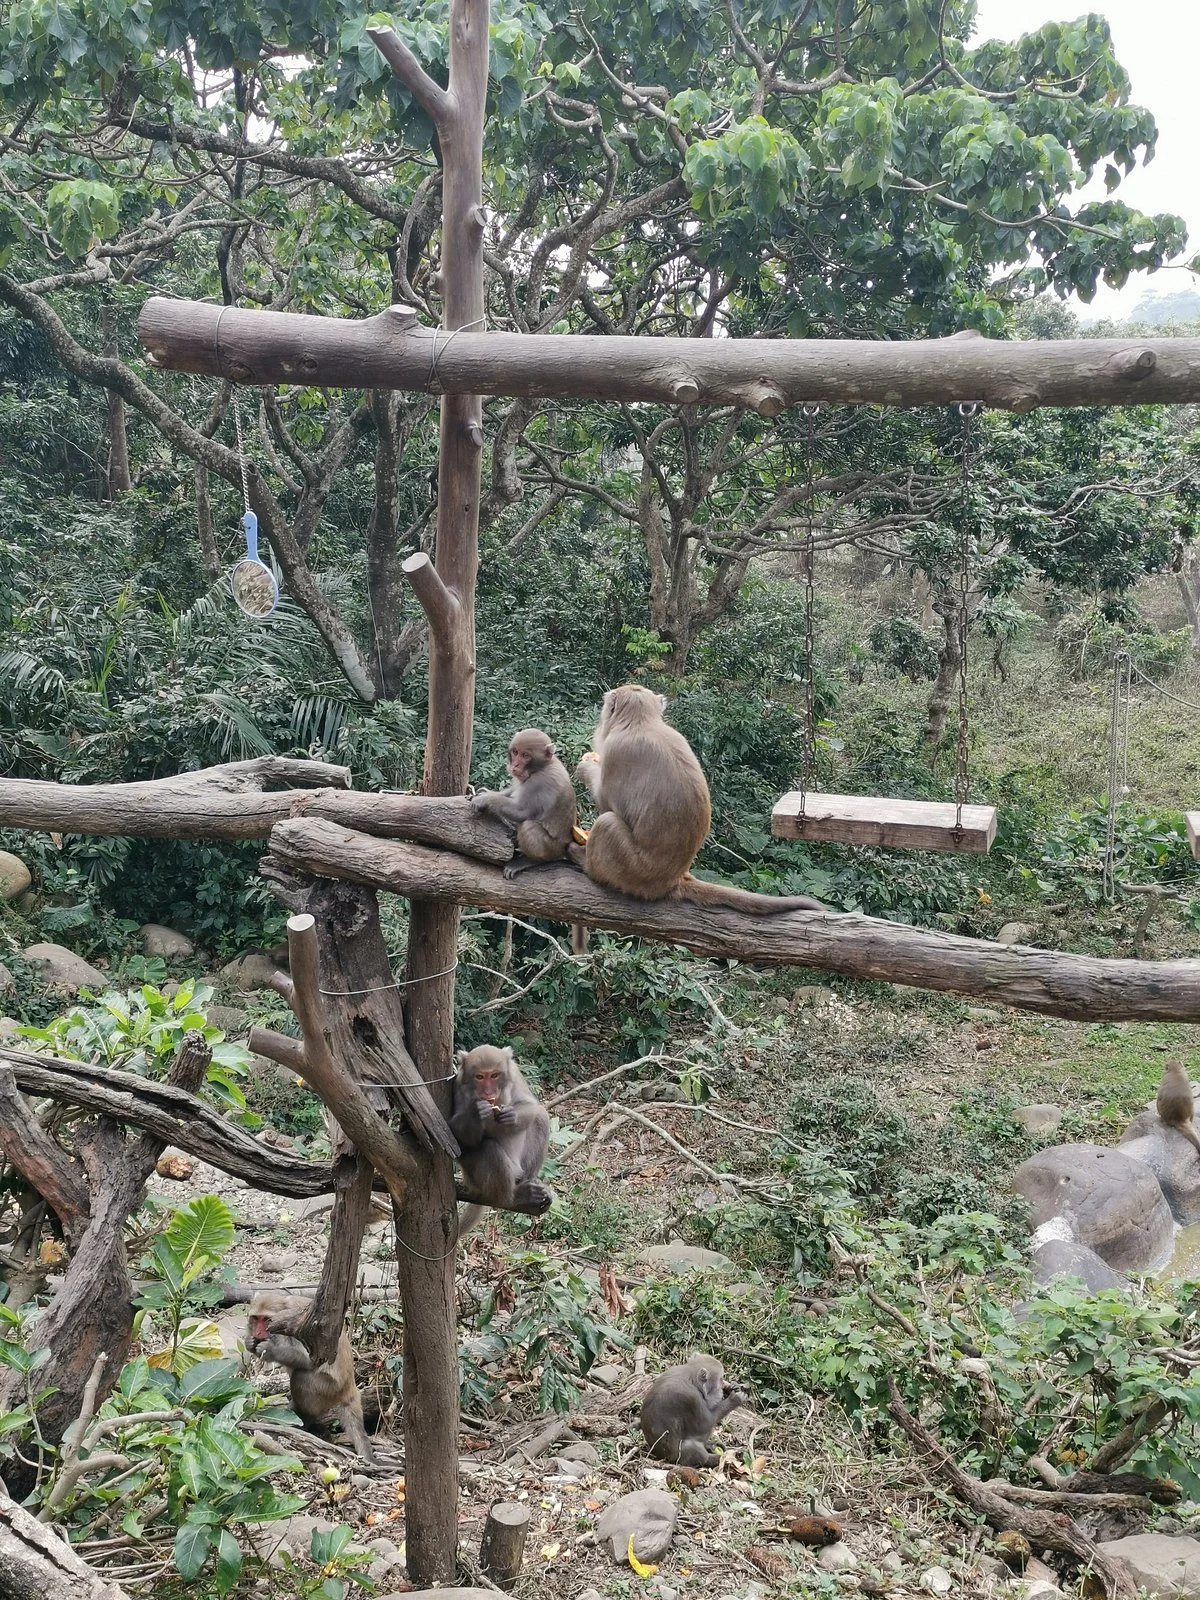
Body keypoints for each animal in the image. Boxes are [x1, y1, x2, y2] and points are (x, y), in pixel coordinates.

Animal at [246, 1291, 374, 1462]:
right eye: (255, 1318)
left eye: (267, 1320)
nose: (258, 1333)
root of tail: (350, 1388)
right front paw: (249, 1342)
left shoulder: (300, 1329)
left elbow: (310, 1360)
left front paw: (270, 1350)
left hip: (329, 1389)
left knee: (300, 1377)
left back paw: (303, 1420)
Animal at [451, 1044, 552, 1235]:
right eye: (480, 1077)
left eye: (494, 1075)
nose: (488, 1091)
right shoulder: (457, 1086)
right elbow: (456, 1137)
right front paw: (477, 1114)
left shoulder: (515, 1073)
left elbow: (530, 1106)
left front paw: (511, 1115)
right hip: (476, 1180)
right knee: (488, 1147)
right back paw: (513, 1198)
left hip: (520, 1167)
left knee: (541, 1117)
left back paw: (528, 1185)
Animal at [472, 728, 577, 879]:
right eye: (515, 752)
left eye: (526, 755)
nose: (515, 765)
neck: (542, 767)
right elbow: (513, 792)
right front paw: (487, 792)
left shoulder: (538, 782)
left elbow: (523, 812)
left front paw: (484, 799)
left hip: (553, 849)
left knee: (528, 826)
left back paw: (532, 860)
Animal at [569, 685, 825, 948]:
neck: (641, 722)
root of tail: (673, 880)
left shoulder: (617, 751)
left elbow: (606, 802)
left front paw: (586, 766)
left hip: (632, 871)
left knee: (607, 823)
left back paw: (586, 863)